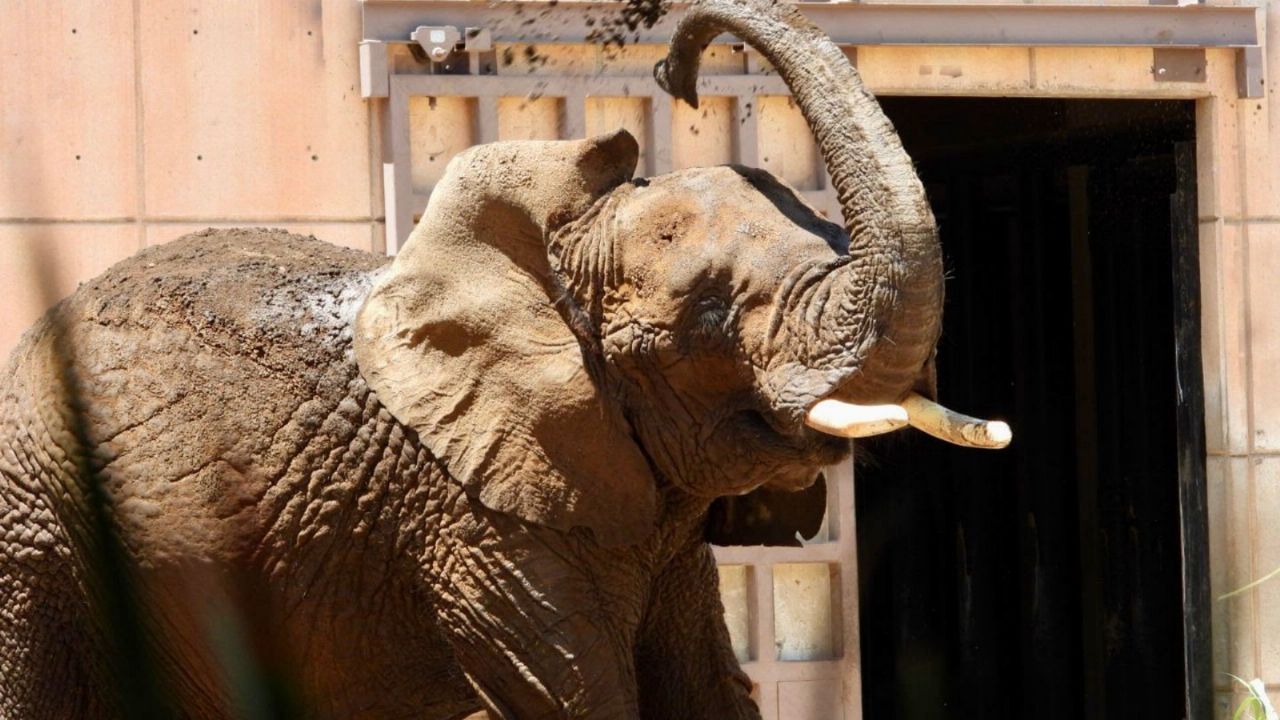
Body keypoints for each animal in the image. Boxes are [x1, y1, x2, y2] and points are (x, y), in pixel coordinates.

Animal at [0, 0, 998, 712]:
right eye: (711, 312)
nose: (675, 74)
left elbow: (706, 691)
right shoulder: (471, 520)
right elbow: (583, 697)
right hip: (34, 529)